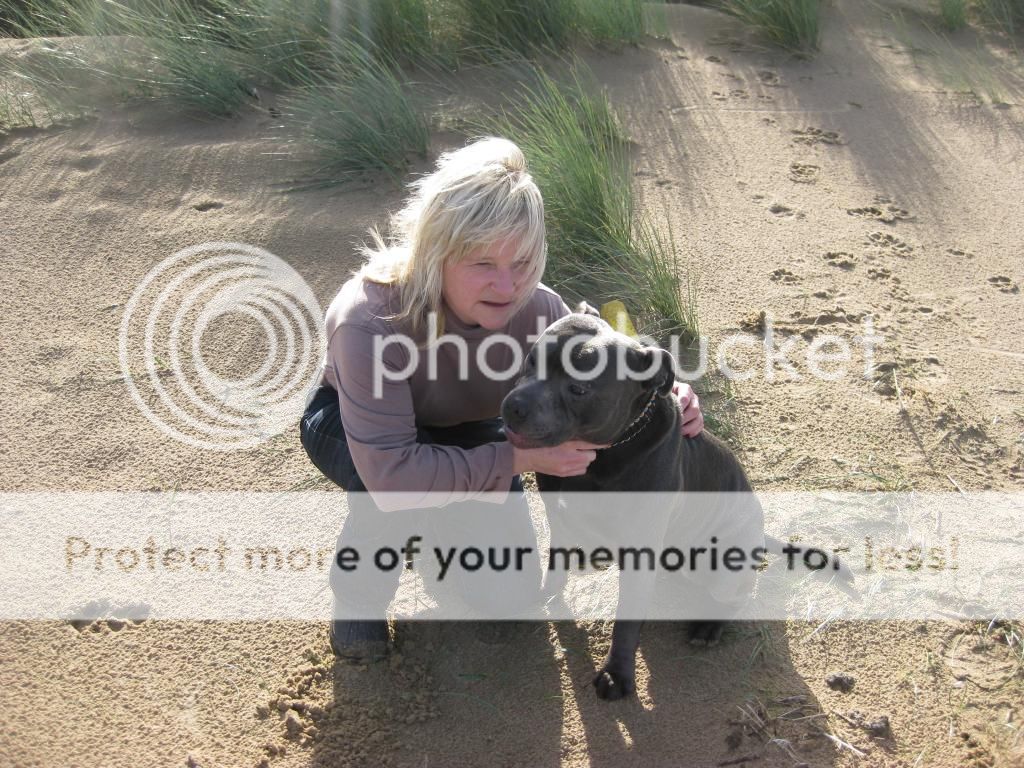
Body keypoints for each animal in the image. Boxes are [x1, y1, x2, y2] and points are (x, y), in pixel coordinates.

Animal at [499, 307, 770, 704]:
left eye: (578, 389)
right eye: (531, 360)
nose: (513, 405)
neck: (606, 453)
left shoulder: (639, 548)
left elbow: (626, 619)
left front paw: (617, 674)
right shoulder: (558, 517)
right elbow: (556, 566)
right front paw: (548, 595)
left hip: (726, 565)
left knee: (735, 597)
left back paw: (709, 624)